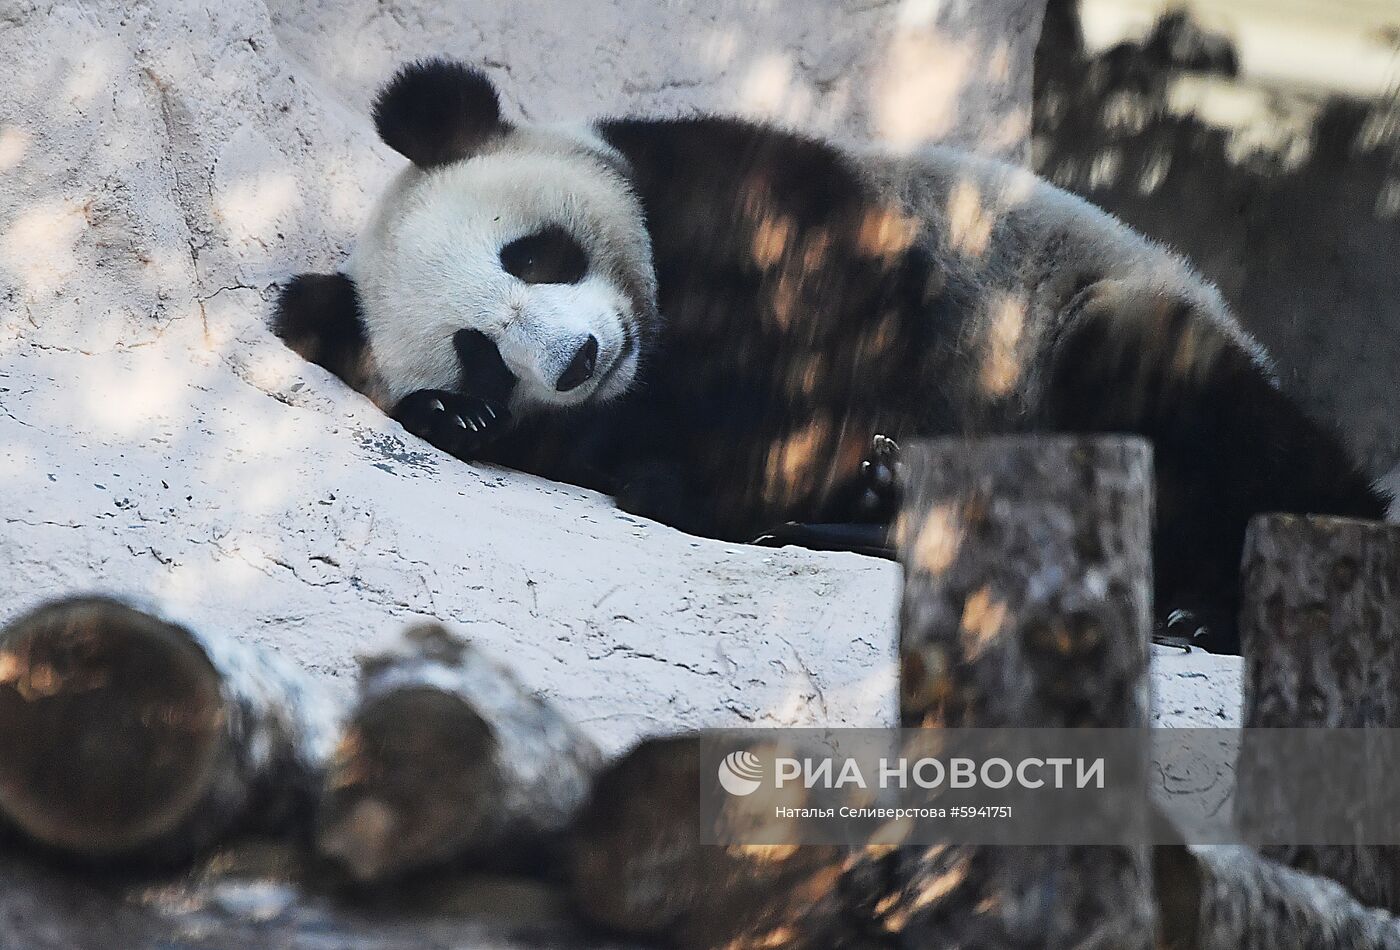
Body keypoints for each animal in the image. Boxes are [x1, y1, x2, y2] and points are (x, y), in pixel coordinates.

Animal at [273, 59, 1388, 654]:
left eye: (534, 253)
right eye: (481, 355)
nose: (580, 356)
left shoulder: (753, 189)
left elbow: (838, 304)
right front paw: (457, 420)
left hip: (1091, 322)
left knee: (1186, 404)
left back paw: (1211, 600)